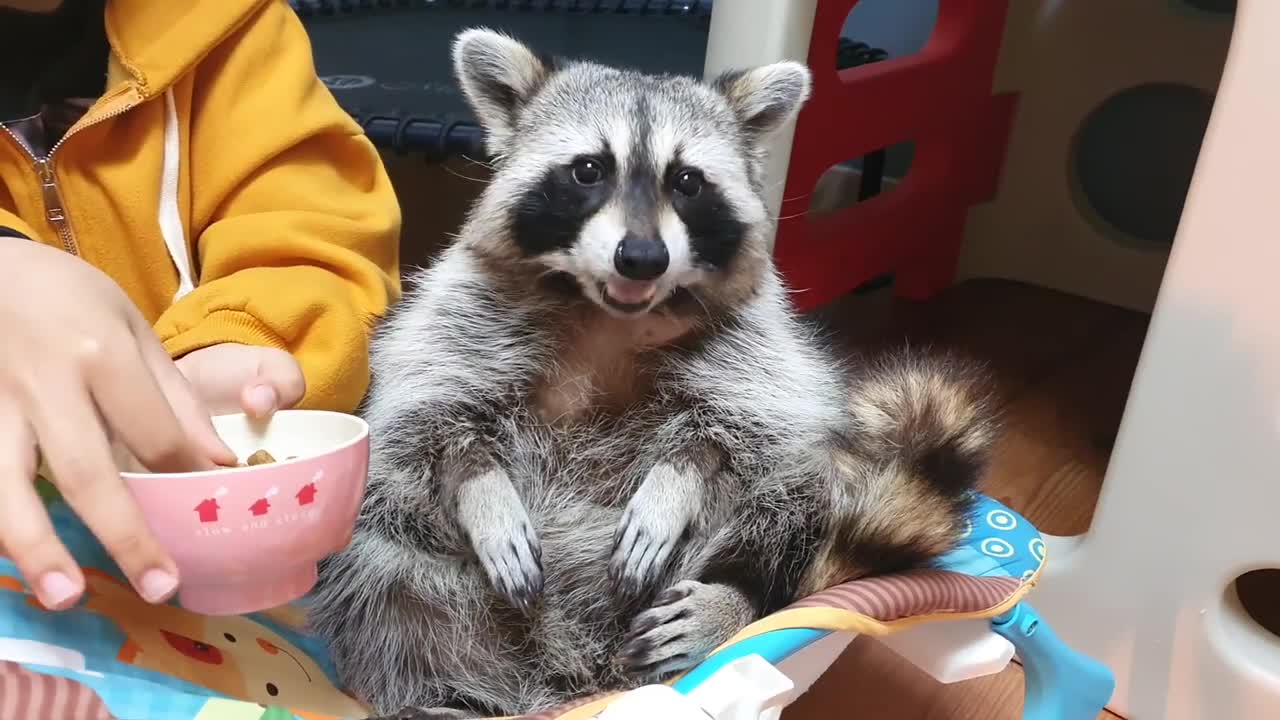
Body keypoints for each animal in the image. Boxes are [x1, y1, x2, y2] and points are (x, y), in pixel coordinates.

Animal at [309, 28, 998, 717]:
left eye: (688, 181)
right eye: (589, 170)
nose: (642, 257)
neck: (610, 311)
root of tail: (574, 672)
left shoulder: (756, 346)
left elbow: (745, 427)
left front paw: (678, 479)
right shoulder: (461, 316)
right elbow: (429, 416)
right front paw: (483, 487)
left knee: (791, 492)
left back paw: (735, 601)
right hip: (415, 577)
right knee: (380, 563)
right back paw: (438, 692)